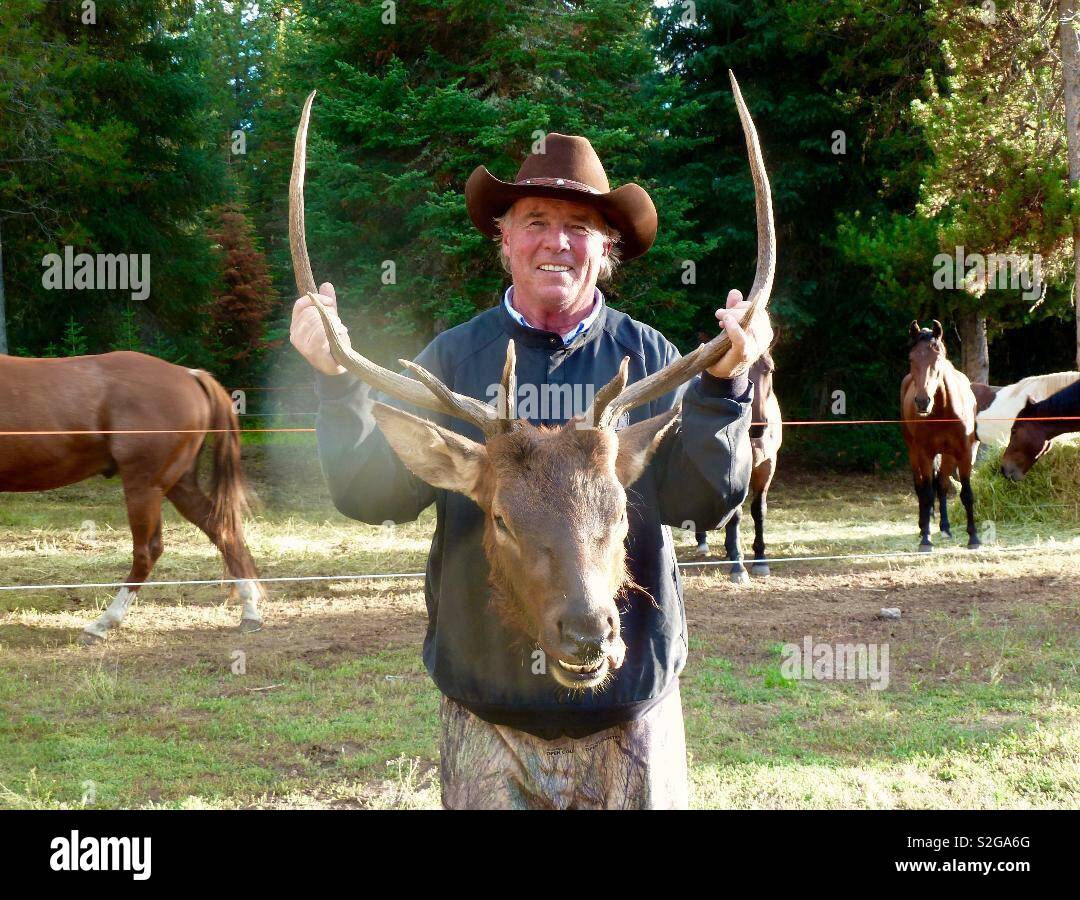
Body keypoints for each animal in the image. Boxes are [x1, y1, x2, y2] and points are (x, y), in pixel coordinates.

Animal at [0, 350, 265, 639]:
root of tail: (189, 374)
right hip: (177, 486)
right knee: (223, 531)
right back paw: (250, 613)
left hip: (144, 488)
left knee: (147, 552)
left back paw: (102, 624)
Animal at [691, 347, 786, 579]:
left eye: (769, 369)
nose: (758, 425)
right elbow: (736, 514)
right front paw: (738, 565)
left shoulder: (767, 465)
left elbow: (759, 510)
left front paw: (760, 559)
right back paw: (704, 543)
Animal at [898, 319, 984, 551]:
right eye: (911, 358)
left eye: (937, 358)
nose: (922, 402)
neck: (945, 410)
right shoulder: (925, 453)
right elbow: (927, 493)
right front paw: (926, 540)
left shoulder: (965, 453)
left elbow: (966, 493)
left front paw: (973, 538)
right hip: (913, 451)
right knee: (921, 486)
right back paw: (922, 528)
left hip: (947, 455)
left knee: (943, 485)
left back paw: (945, 528)